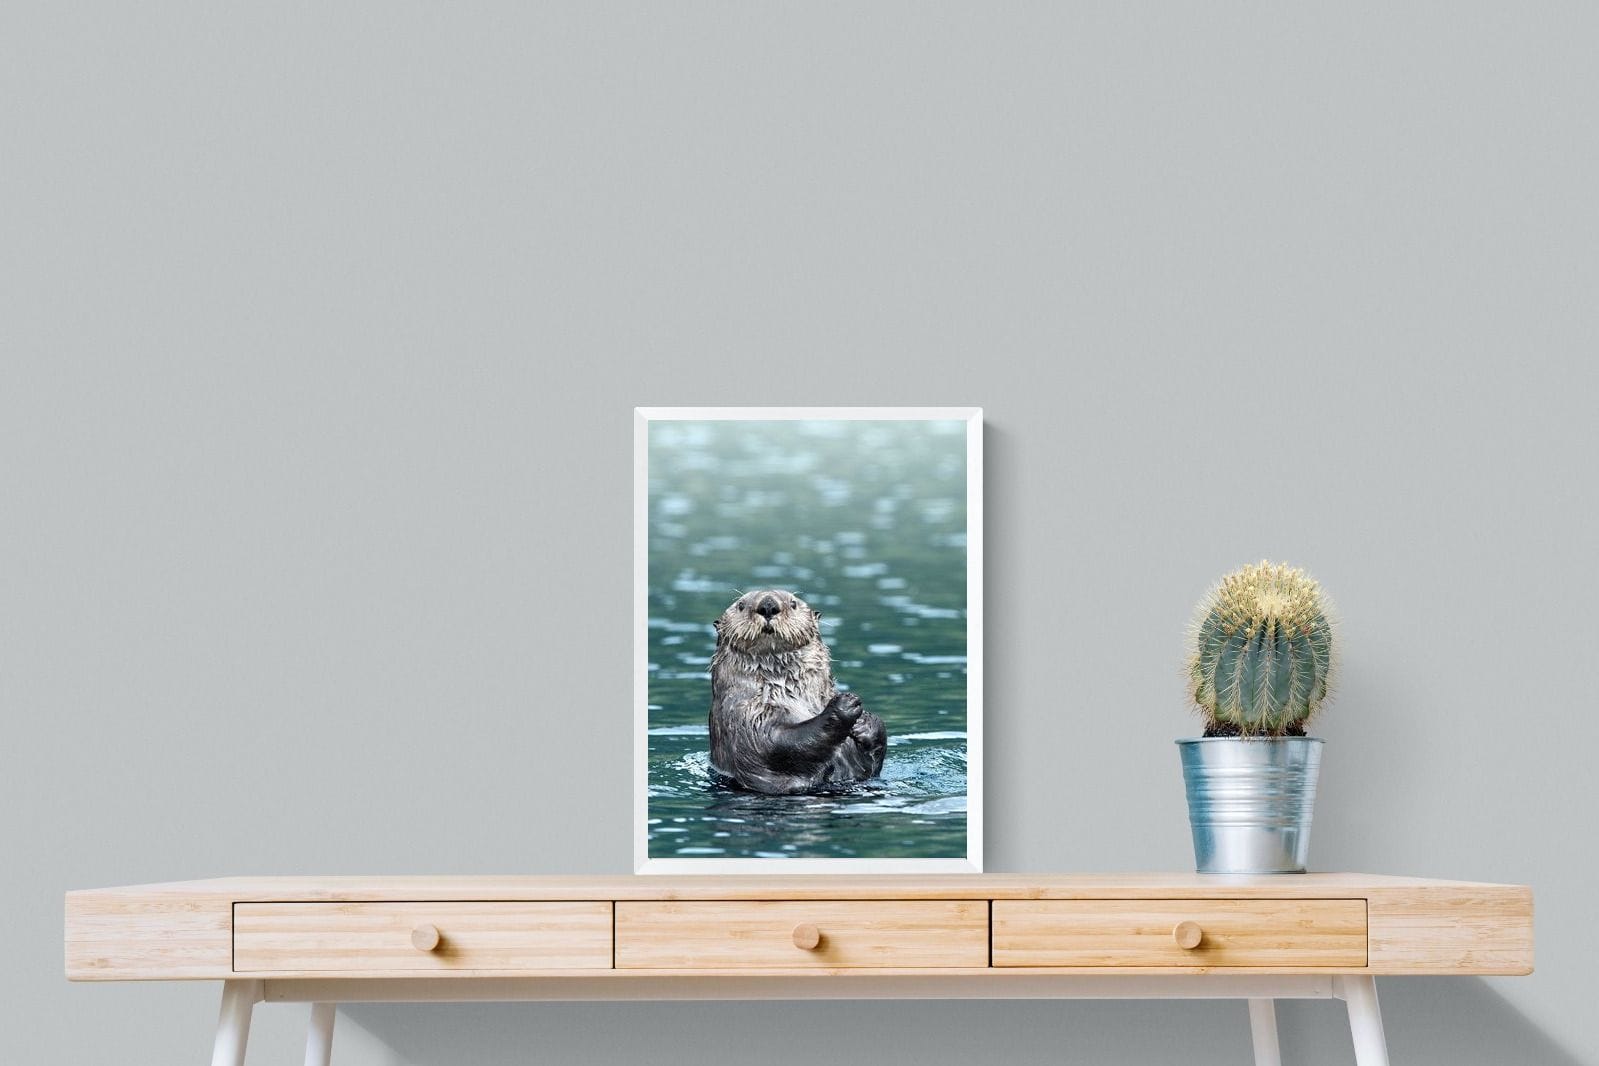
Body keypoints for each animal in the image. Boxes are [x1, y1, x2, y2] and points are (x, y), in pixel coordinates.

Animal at [708, 589, 887, 795]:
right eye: (741, 605)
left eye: (793, 603)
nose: (768, 605)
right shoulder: (744, 716)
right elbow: (777, 743)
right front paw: (844, 705)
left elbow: (870, 766)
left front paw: (865, 722)